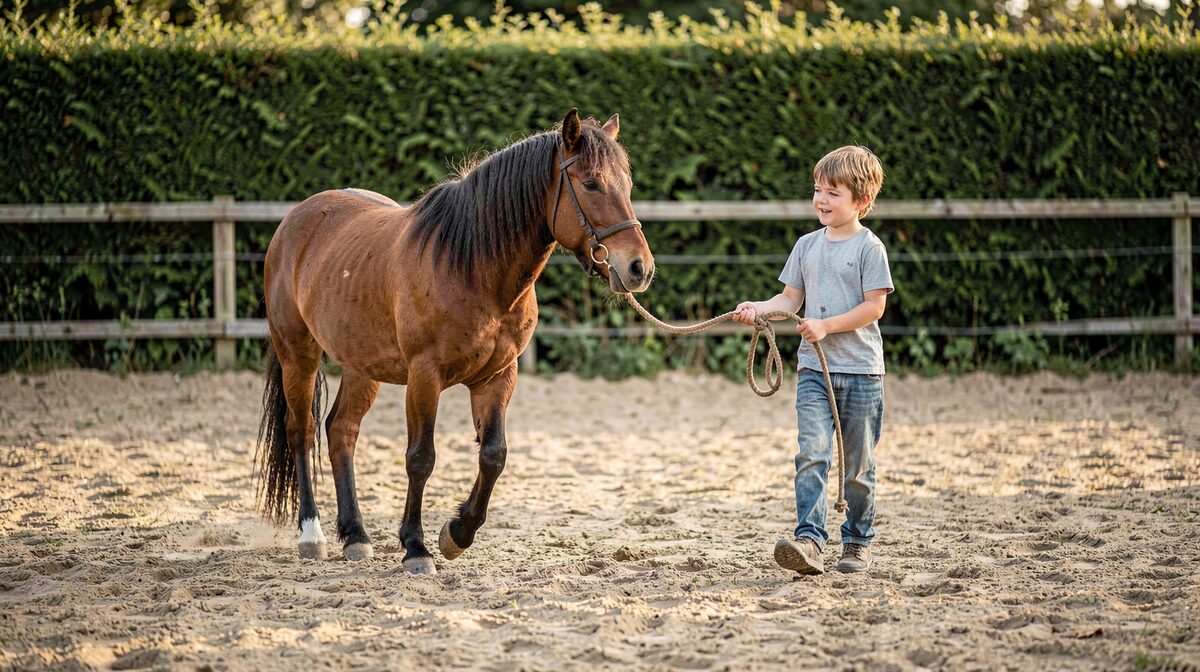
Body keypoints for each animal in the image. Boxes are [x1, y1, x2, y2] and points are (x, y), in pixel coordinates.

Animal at [255, 109, 654, 574]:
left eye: (627, 184)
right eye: (590, 184)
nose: (639, 268)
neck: (472, 265)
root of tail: (295, 221)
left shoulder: (498, 376)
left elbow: (494, 455)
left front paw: (457, 533)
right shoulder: (424, 376)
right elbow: (420, 458)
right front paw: (416, 547)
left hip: (361, 365)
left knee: (341, 430)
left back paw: (355, 536)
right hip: (298, 353)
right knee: (300, 431)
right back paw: (312, 535)